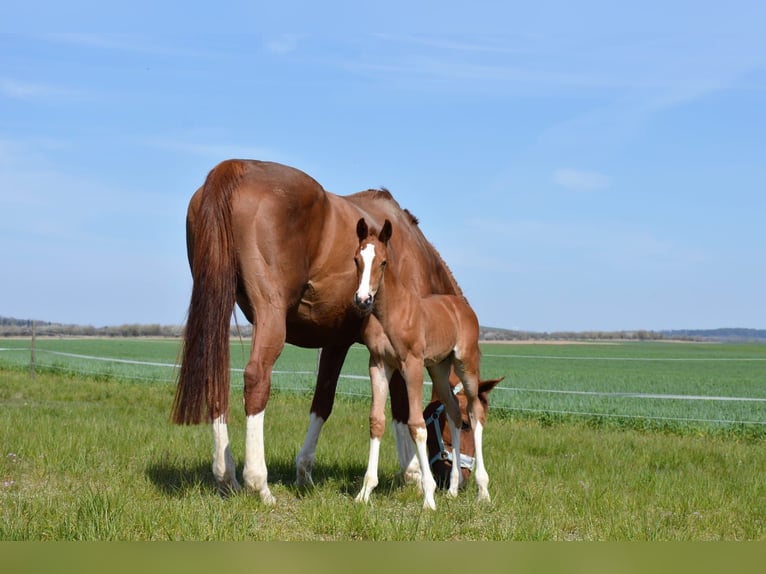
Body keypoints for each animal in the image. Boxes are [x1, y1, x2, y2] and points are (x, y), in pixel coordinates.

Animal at [354, 218, 492, 510]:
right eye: (356, 259)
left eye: (383, 262)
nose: (362, 299)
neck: (391, 312)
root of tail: (461, 307)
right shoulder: (379, 364)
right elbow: (376, 420)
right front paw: (364, 492)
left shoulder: (412, 365)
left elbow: (416, 425)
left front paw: (428, 497)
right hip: (439, 368)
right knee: (453, 410)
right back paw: (452, 489)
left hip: (465, 365)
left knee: (475, 412)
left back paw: (483, 490)